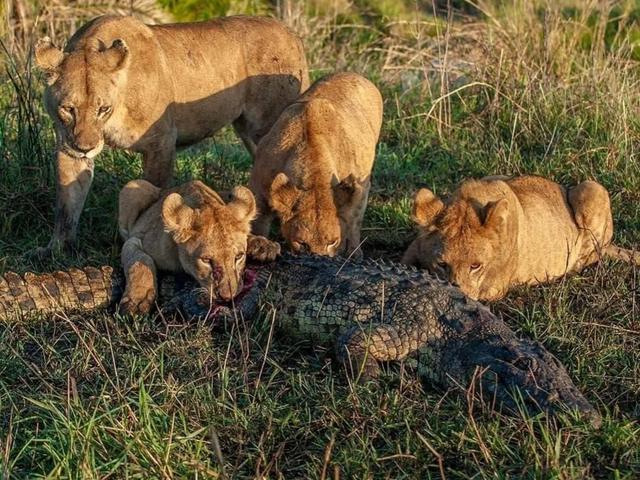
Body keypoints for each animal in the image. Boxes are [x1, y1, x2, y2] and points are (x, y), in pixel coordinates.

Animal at [119, 180, 278, 316]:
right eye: (206, 260)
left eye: (239, 256)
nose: (227, 297)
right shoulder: (137, 239)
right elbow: (140, 261)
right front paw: (137, 301)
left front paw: (261, 245)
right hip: (134, 186)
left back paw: (263, 246)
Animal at [402, 176, 636, 300]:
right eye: (442, 264)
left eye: (476, 266)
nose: (458, 297)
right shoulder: (415, 246)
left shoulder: (496, 287)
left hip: (592, 188)